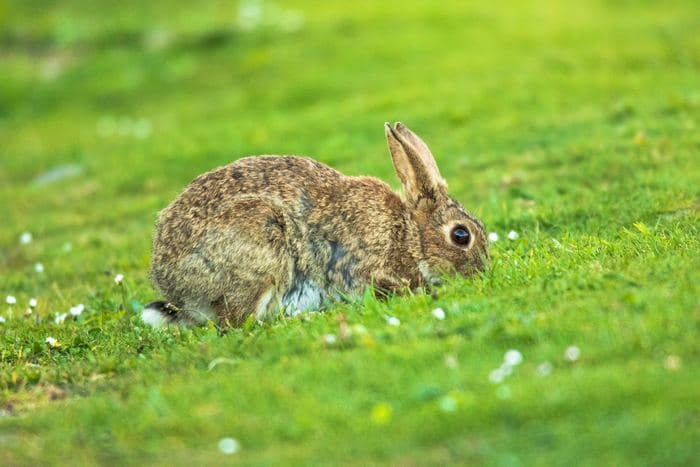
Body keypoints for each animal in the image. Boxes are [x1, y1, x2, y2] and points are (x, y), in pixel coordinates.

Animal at [143, 123, 488, 327]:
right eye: (461, 235)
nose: (482, 273)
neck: (408, 234)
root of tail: (171, 282)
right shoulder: (361, 265)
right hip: (261, 247)